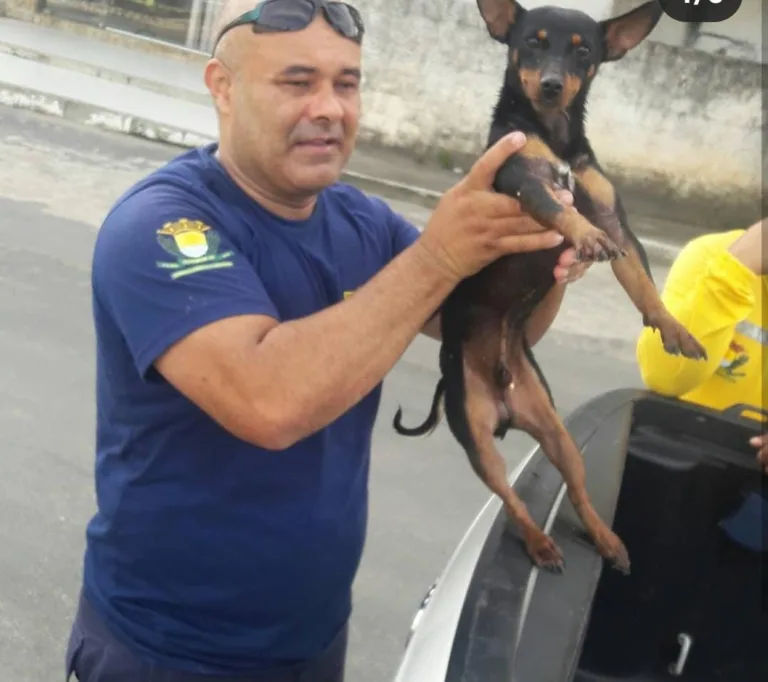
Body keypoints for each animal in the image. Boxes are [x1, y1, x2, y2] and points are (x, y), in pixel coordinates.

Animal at [392, 0, 704, 572]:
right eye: (531, 44)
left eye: (583, 52)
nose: (554, 85)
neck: (554, 134)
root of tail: (504, 403)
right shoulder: (524, 183)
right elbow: (560, 209)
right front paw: (581, 235)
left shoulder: (617, 222)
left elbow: (642, 285)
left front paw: (673, 328)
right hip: (475, 437)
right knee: (509, 499)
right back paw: (539, 544)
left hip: (558, 436)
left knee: (576, 489)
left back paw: (605, 538)